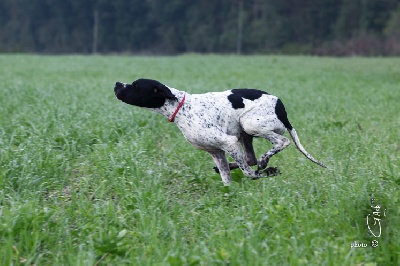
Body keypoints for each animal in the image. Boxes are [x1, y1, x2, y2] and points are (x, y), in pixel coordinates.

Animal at [114, 78, 326, 185]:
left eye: (135, 85)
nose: (117, 84)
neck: (182, 108)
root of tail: (281, 106)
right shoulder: (216, 152)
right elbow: (227, 178)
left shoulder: (228, 142)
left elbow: (250, 173)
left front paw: (268, 172)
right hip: (244, 133)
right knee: (250, 158)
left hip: (249, 123)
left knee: (280, 143)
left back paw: (266, 161)